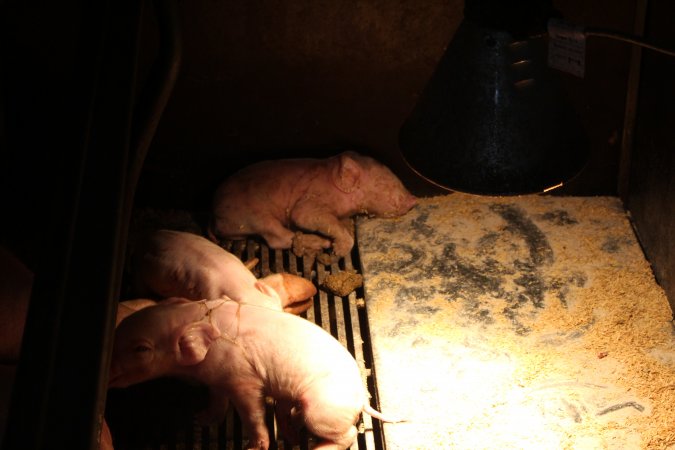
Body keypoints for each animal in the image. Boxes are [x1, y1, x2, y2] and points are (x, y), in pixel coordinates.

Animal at [109, 297, 402, 450]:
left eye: (141, 349)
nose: (109, 374)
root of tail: (361, 396)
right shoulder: (217, 379)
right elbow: (217, 401)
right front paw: (200, 419)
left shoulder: (244, 380)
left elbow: (252, 412)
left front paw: (254, 446)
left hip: (322, 410)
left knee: (348, 434)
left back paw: (318, 447)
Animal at [208, 151, 417, 257]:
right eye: (382, 183)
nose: (413, 199)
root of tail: (213, 215)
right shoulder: (311, 199)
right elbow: (304, 216)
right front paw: (337, 251)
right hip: (254, 217)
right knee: (278, 238)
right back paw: (322, 243)